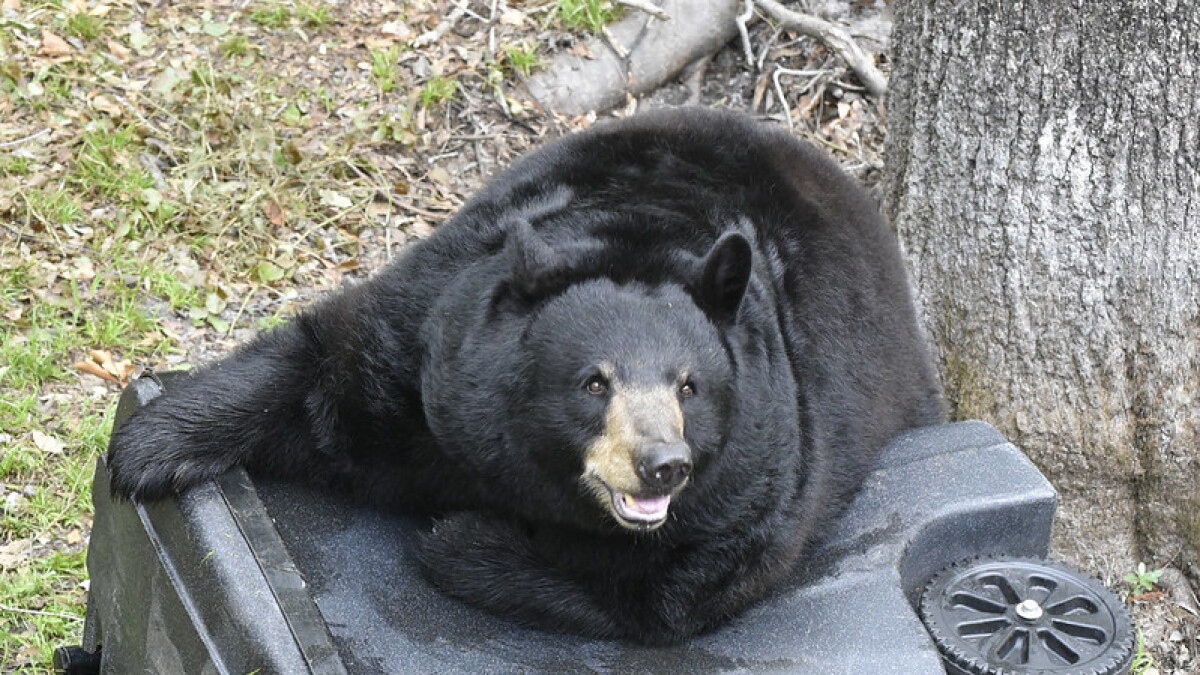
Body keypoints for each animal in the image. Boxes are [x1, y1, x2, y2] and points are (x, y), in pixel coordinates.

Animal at [106, 106, 944, 645]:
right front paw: (148, 446)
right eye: (594, 382)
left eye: (689, 386)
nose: (662, 464)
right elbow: (329, 367)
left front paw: (462, 536)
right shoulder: (429, 351)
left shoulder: (767, 460)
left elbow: (667, 593)